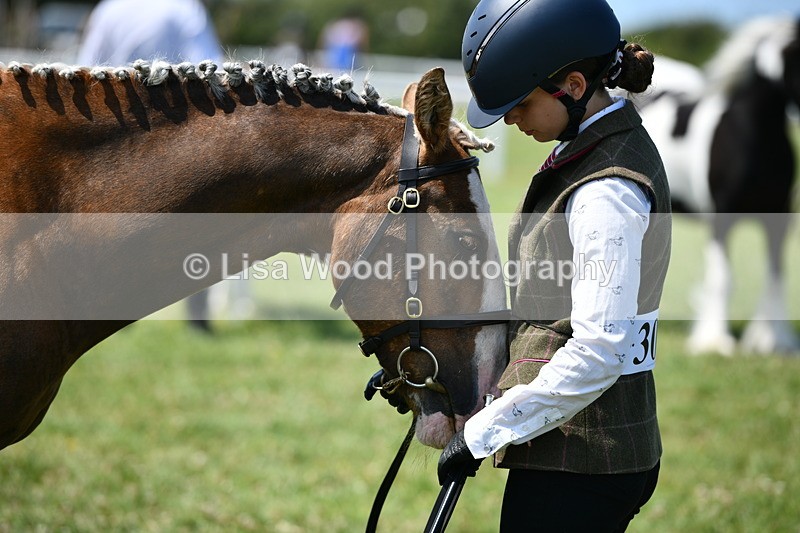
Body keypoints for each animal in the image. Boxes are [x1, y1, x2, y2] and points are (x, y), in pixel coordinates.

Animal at [631, 16, 800, 355]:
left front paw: (773, 341)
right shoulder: (722, 219)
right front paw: (713, 341)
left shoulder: (778, 218)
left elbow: (775, 276)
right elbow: (723, 279)